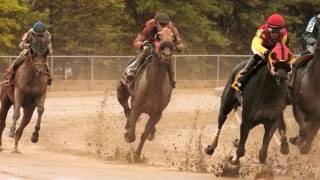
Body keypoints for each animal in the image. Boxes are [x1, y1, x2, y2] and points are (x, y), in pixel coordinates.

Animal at [116, 26, 175, 159]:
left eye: (173, 37)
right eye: (158, 37)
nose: (166, 54)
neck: (153, 85)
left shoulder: (157, 114)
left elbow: (144, 134)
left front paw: (137, 156)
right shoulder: (137, 108)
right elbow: (132, 135)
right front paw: (127, 133)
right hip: (121, 93)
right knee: (126, 109)